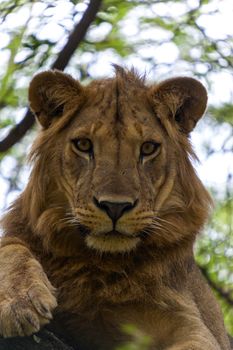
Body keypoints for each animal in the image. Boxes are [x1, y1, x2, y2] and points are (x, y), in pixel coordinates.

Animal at [0, 66, 231, 350]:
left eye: (148, 148)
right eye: (84, 145)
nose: (114, 207)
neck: (100, 265)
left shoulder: (195, 326)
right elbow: (11, 247)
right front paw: (20, 301)